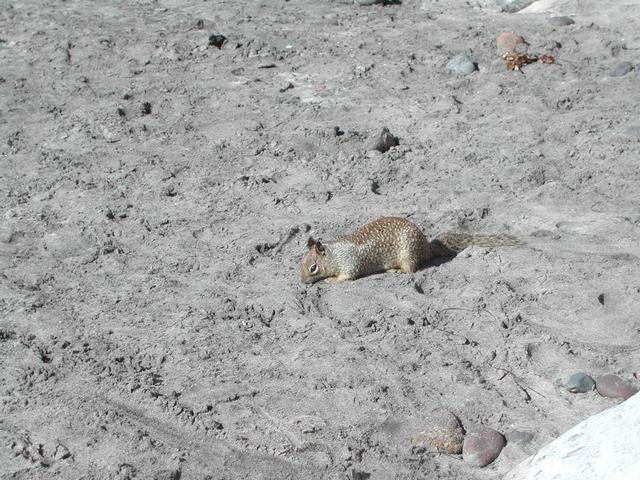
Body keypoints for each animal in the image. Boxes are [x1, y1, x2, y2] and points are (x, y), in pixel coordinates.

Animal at [302, 216, 520, 284]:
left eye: (313, 267)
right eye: (300, 264)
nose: (303, 282)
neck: (333, 255)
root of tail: (426, 247)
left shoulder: (349, 263)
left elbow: (347, 276)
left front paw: (331, 280)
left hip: (407, 255)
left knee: (411, 270)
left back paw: (396, 270)